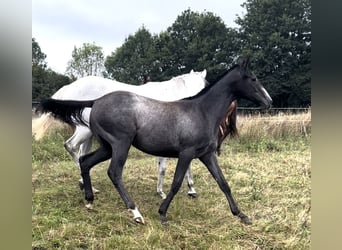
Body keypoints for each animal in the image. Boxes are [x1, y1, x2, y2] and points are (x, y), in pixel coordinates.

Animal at [33, 70, 207, 197]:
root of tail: (71, 86)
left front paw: (190, 189)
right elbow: (165, 167)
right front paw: (163, 192)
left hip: (89, 133)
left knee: (82, 153)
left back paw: (86, 184)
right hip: (85, 130)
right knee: (71, 146)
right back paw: (89, 186)